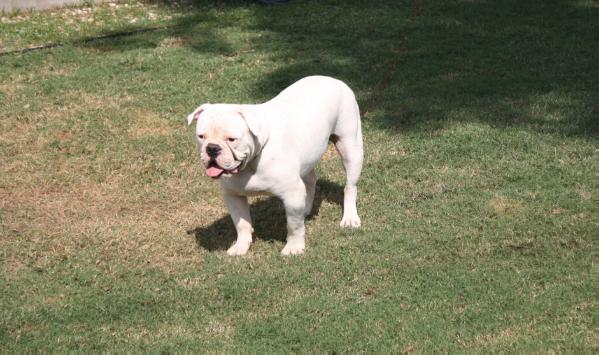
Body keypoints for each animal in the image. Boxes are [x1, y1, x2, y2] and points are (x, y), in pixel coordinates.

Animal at [188, 76, 364, 258]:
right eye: (201, 136)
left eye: (231, 139)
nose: (212, 148)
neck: (252, 161)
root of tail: (332, 79)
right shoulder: (233, 196)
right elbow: (241, 224)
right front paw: (241, 246)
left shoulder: (292, 194)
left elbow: (293, 226)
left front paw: (294, 247)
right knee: (310, 180)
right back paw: (306, 209)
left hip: (351, 147)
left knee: (350, 186)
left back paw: (350, 218)